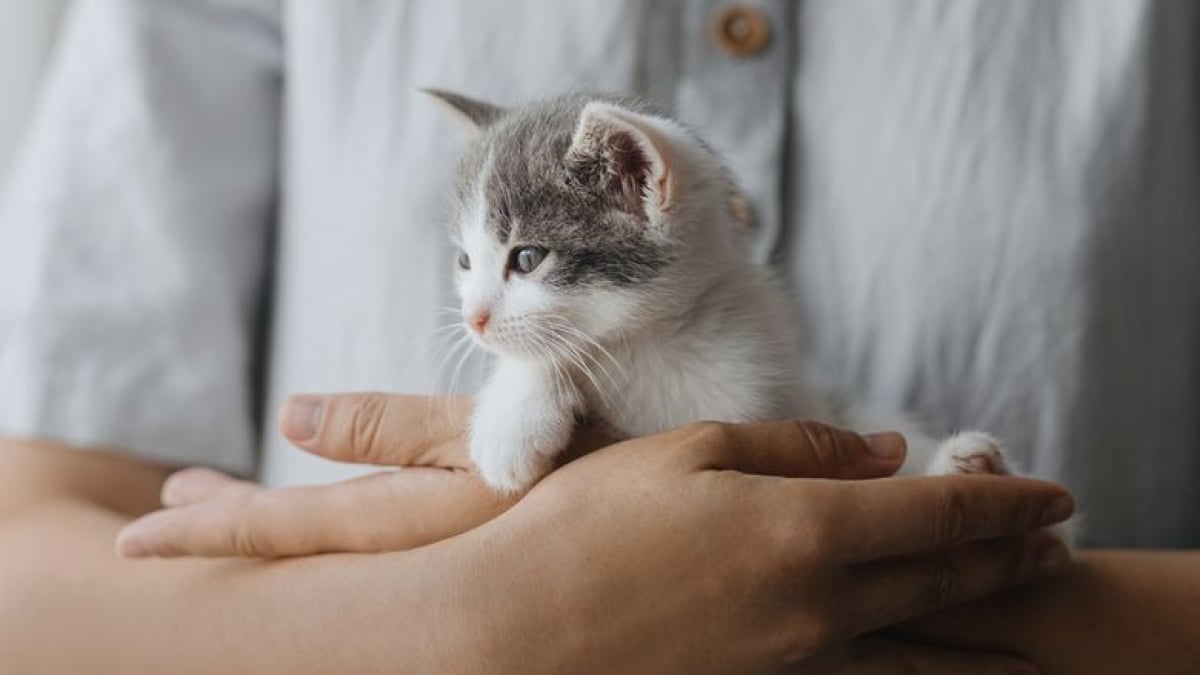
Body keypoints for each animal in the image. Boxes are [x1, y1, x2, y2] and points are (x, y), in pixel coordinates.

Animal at [432, 89, 1032, 497]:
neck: (647, 343)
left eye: (527, 259)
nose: (473, 319)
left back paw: (970, 463)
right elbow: (542, 355)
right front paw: (514, 422)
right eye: (465, 261)